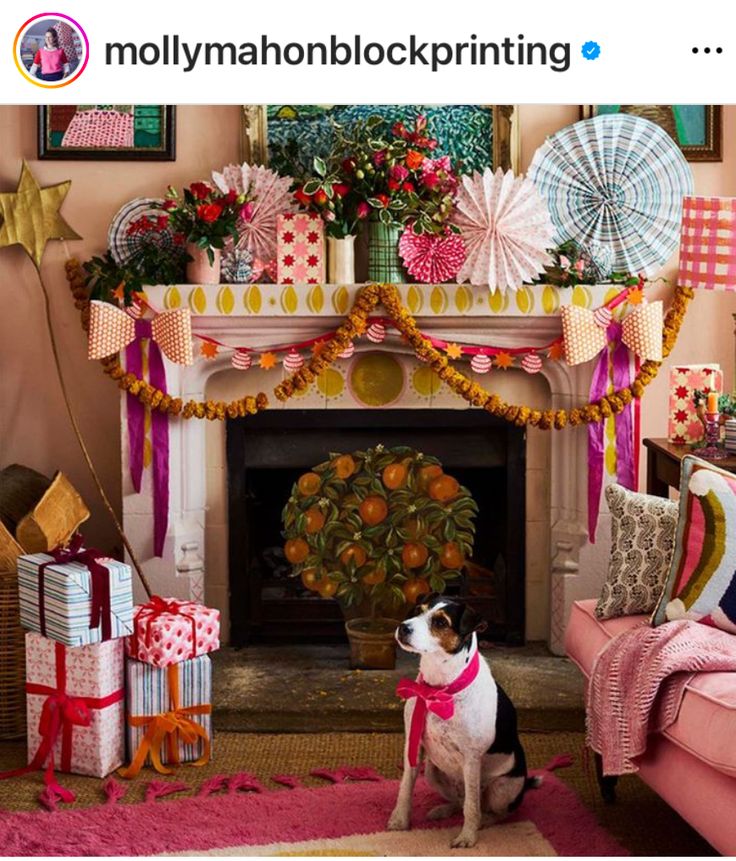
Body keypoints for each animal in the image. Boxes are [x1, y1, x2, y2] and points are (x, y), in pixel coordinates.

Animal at [388, 592, 536, 848]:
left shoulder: (471, 758)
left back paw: (484, 821)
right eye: (419, 610)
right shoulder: (413, 747)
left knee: (495, 811)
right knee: (459, 801)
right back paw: (442, 810)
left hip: (501, 789)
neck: (439, 689)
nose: (403, 627)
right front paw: (400, 821)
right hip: (433, 772)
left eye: (440, 622)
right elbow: (405, 787)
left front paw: (467, 837)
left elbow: (472, 807)